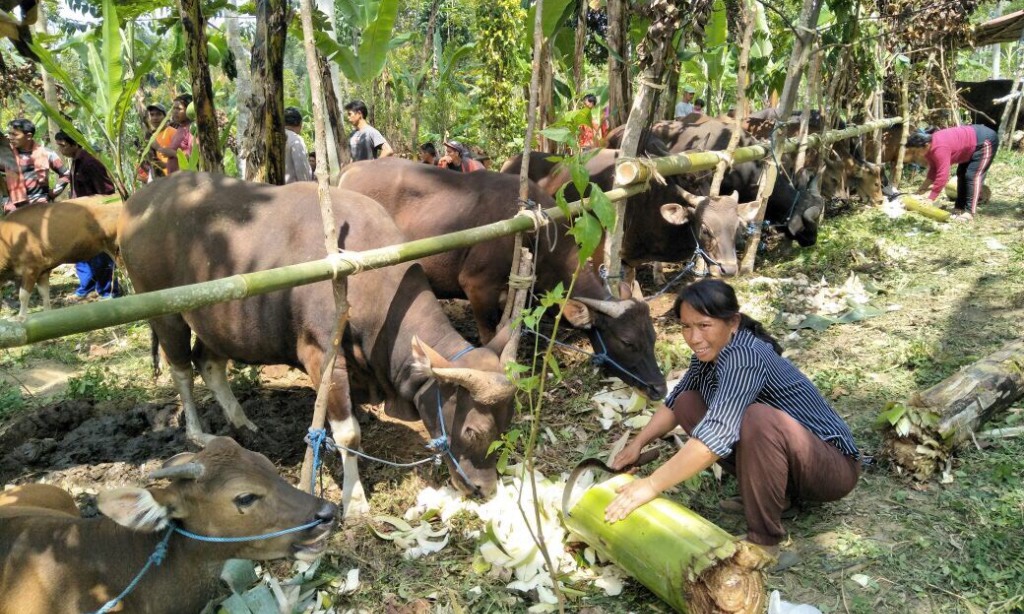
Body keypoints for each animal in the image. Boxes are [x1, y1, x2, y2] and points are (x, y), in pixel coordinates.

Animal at [119, 172, 516, 513]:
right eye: (473, 430)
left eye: (506, 426)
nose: (484, 488)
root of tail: (137, 203)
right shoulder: (321, 355)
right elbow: (348, 435)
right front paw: (354, 500)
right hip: (166, 312)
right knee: (181, 370)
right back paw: (197, 433)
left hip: (216, 322)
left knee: (209, 364)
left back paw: (244, 425)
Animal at [339, 155, 667, 401]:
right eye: (627, 341)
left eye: (652, 335)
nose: (659, 388)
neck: (534, 234)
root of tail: (350, 169)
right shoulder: (477, 287)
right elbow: (489, 337)